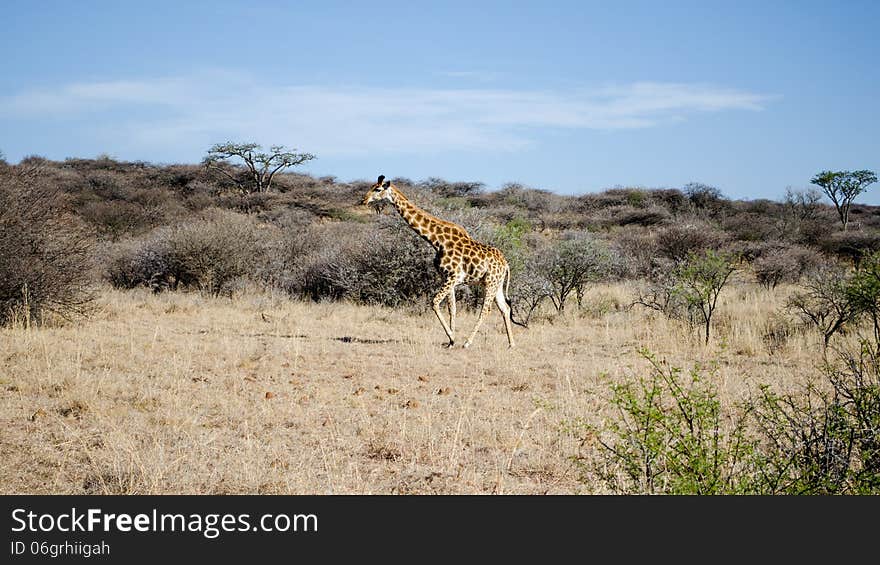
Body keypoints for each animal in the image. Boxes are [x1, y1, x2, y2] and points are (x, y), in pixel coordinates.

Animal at [362, 174, 524, 346]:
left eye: (378, 189)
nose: (364, 200)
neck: (437, 241)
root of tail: (506, 264)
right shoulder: (447, 278)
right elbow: (452, 308)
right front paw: (450, 341)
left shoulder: (453, 277)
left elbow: (434, 302)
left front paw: (453, 337)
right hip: (496, 284)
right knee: (505, 309)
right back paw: (511, 344)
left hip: (490, 283)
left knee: (486, 310)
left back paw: (468, 342)